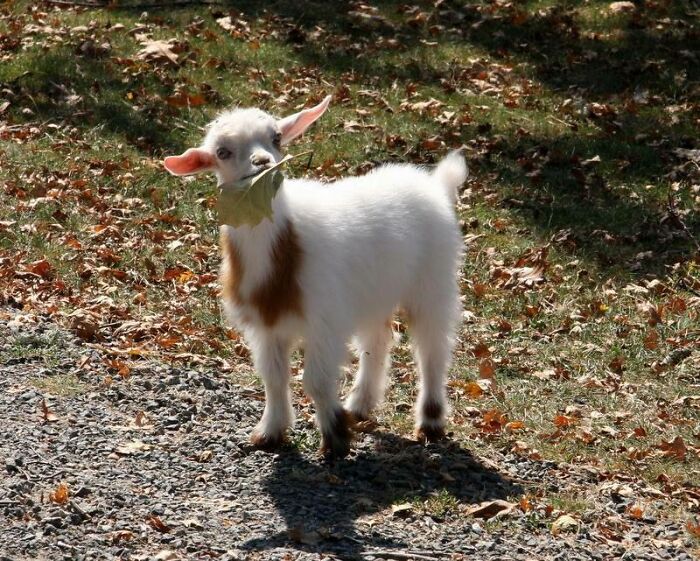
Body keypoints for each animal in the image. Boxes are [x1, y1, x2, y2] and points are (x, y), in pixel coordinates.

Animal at [163, 95, 464, 456]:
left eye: (276, 137)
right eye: (222, 151)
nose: (262, 162)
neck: (284, 256)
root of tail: (434, 185)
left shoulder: (325, 321)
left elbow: (315, 381)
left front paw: (335, 437)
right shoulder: (266, 327)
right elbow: (274, 377)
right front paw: (271, 431)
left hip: (434, 278)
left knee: (432, 348)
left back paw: (430, 421)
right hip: (373, 292)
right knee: (378, 339)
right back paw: (359, 405)